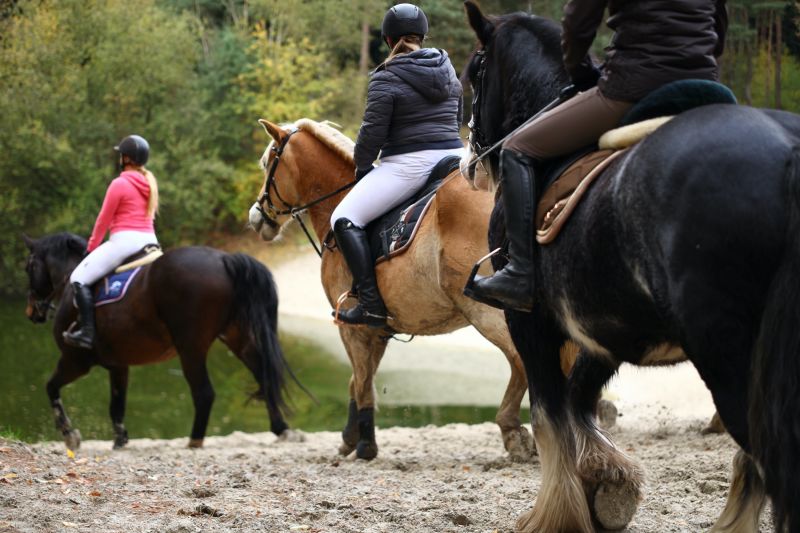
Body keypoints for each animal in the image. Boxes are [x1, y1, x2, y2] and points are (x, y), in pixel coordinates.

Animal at [23, 232, 296, 450]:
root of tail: (223, 259)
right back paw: (280, 428)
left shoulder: (75, 361)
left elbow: (51, 388)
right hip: (237, 338)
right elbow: (116, 405)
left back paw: (195, 440)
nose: (31, 312)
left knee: (204, 393)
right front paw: (120, 439)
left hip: (191, 348)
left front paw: (69, 435)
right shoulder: (118, 366)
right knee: (262, 374)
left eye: (28, 267)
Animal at [247, 118, 582, 462]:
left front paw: (365, 446)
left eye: (267, 163)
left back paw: (515, 432)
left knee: (523, 361)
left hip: (486, 310)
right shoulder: (376, 330)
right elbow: (358, 381)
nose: (256, 217)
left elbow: (362, 382)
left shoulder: (351, 327)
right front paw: (350, 439)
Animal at [464, 3, 800, 532]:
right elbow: (578, 402)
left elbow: (550, 416)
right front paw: (610, 485)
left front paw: (557, 513)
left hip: (733, 363)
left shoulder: (530, 322)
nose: (471, 162)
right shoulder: (608, 333)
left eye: (473, 72)